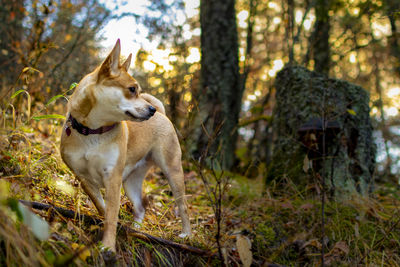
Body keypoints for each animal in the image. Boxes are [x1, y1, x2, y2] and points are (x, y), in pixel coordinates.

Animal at [58, 39, 191, 251]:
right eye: (132, 89)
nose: (151, 110)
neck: (93, 131)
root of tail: (163, 115)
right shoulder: (85, 179)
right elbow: (104, 208)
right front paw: (113, 228)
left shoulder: (112, 178)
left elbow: (111, 214)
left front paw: (108, 246)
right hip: (130, 181)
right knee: (140, 207)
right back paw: (135, 230)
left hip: (172, 171)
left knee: (182, 206)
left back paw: (186, 234)